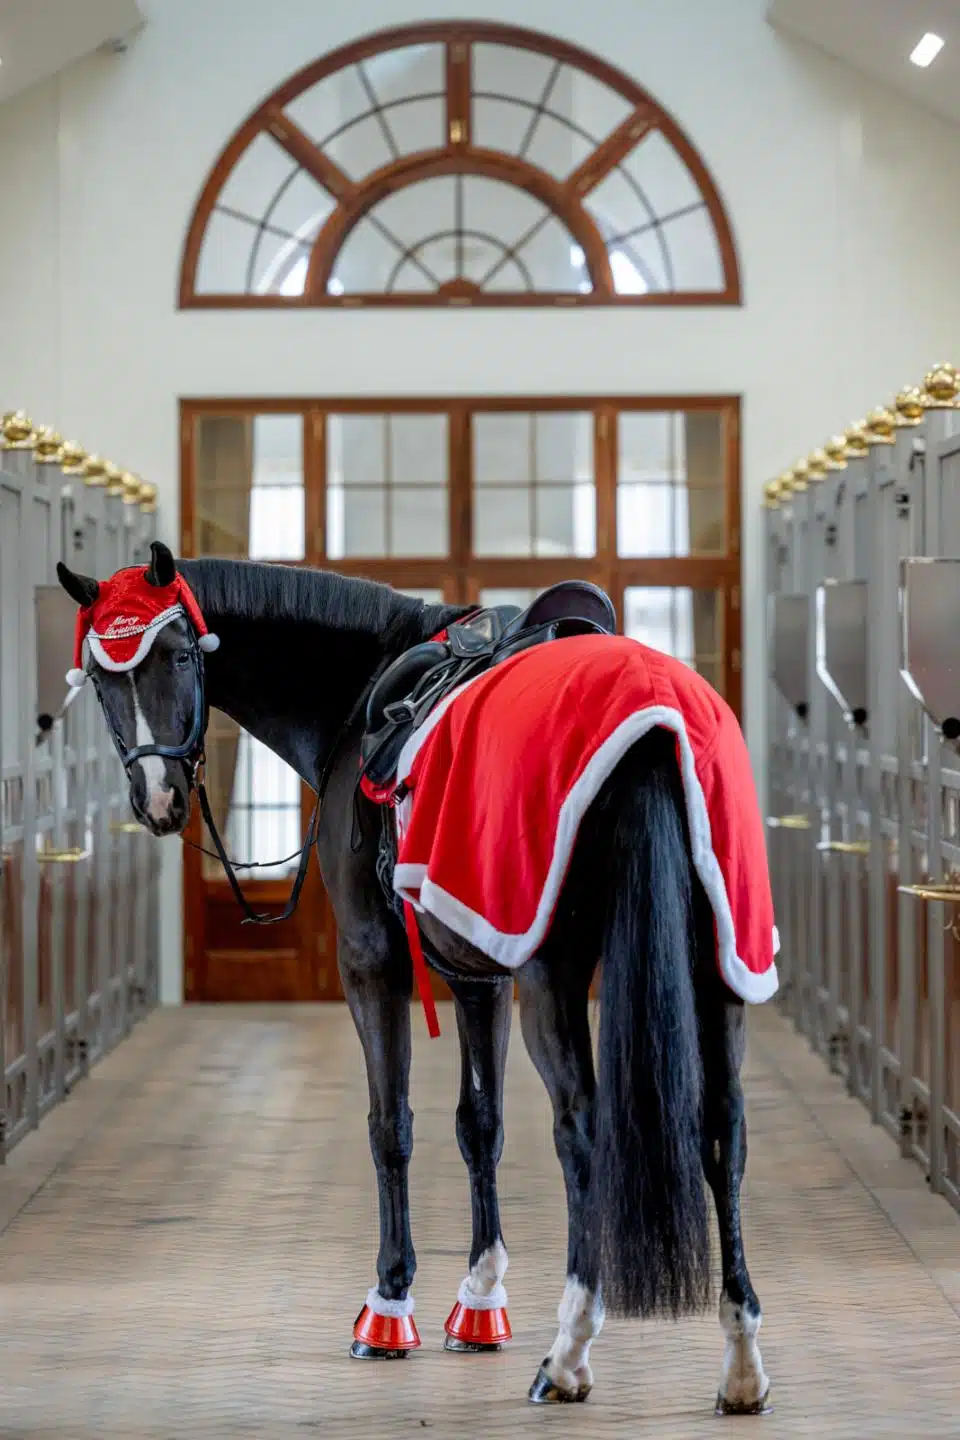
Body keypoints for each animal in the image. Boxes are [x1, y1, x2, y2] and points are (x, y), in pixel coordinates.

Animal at [57, 541, 772, 1415]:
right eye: (100, 676)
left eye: (182, 656)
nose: (159, 799)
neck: (355, 696)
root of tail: (655, 725)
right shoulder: (479, 975)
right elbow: (480, 1125)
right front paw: (481, 1299)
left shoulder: (373, 961)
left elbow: (389, 1125)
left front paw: (390, 1304)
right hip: (721, 968)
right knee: (723, 1132)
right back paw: (740, 1359)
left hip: (555, 977)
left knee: (583, 1127)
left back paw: (569, 1351)